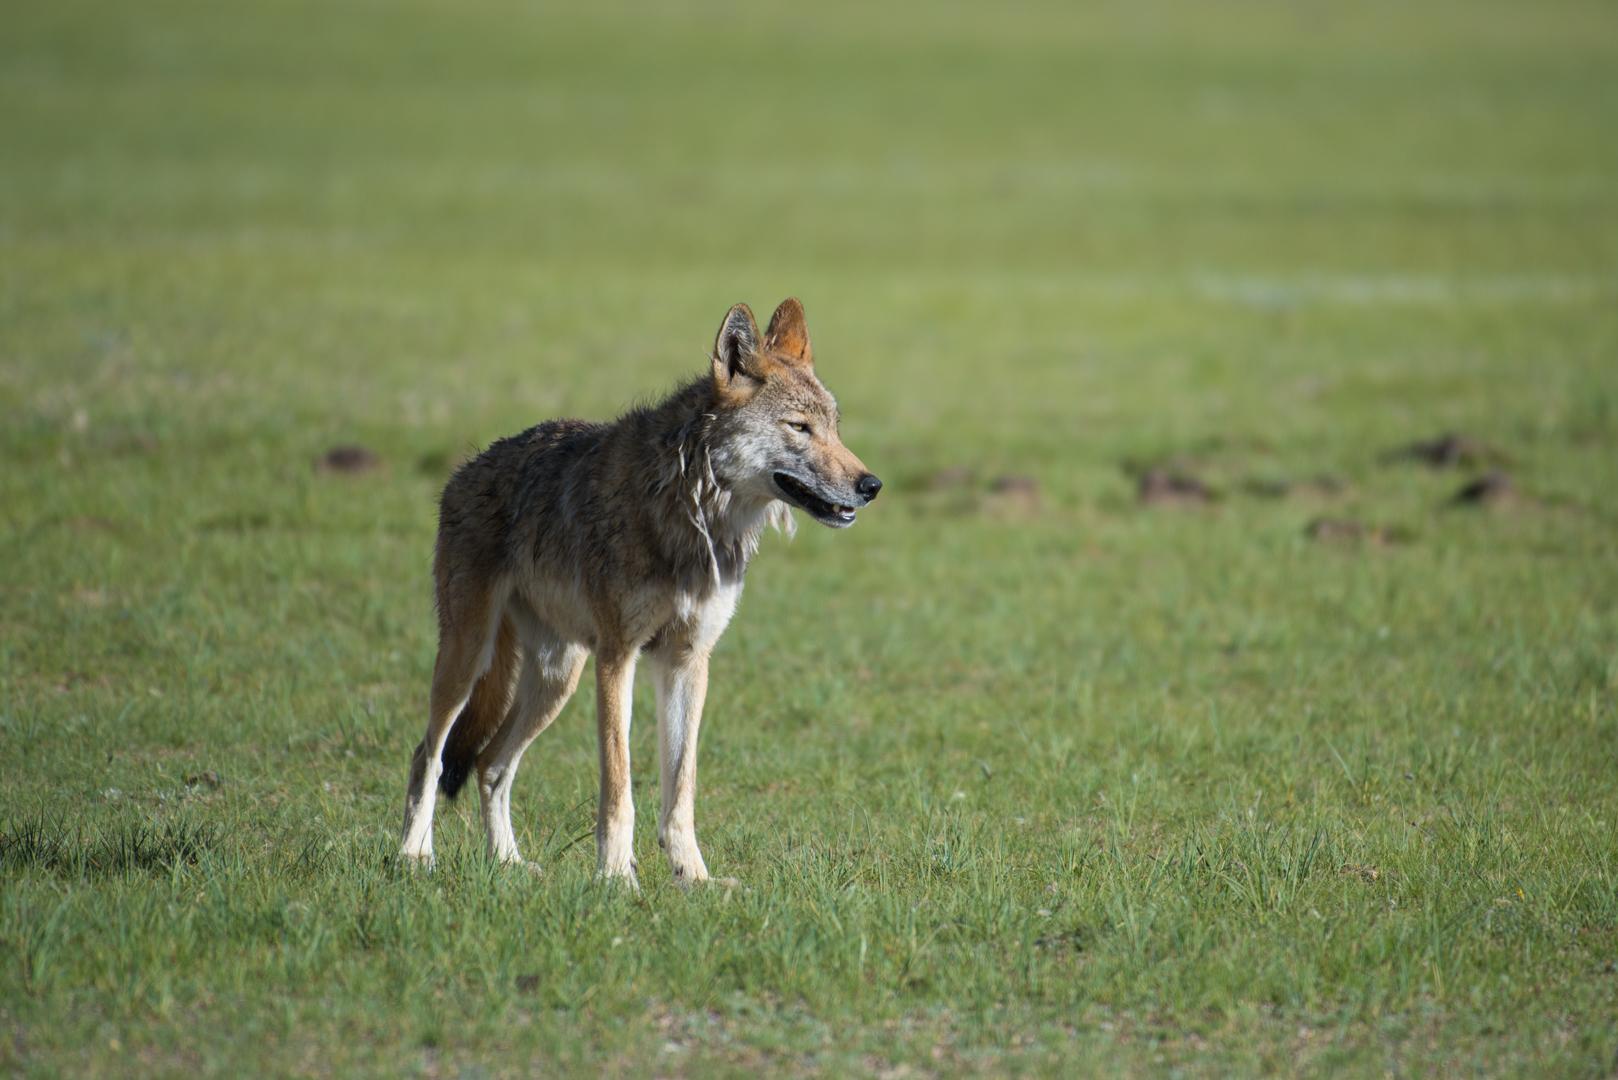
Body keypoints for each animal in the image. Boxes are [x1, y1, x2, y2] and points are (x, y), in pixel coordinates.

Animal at [402, 296, 886, 887]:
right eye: (800, 427)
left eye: (834, 428)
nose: (871, 486)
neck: (693, 516)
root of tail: (464, 469)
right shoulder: (618, 656)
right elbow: (619, 784)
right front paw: (616, 877)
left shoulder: (688, 660)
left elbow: (681, 789)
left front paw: (694, 877)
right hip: (469, 658)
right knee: (429, 754)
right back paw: (415, 855)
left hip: (557, 678)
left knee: (491, 764)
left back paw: (510, 864)